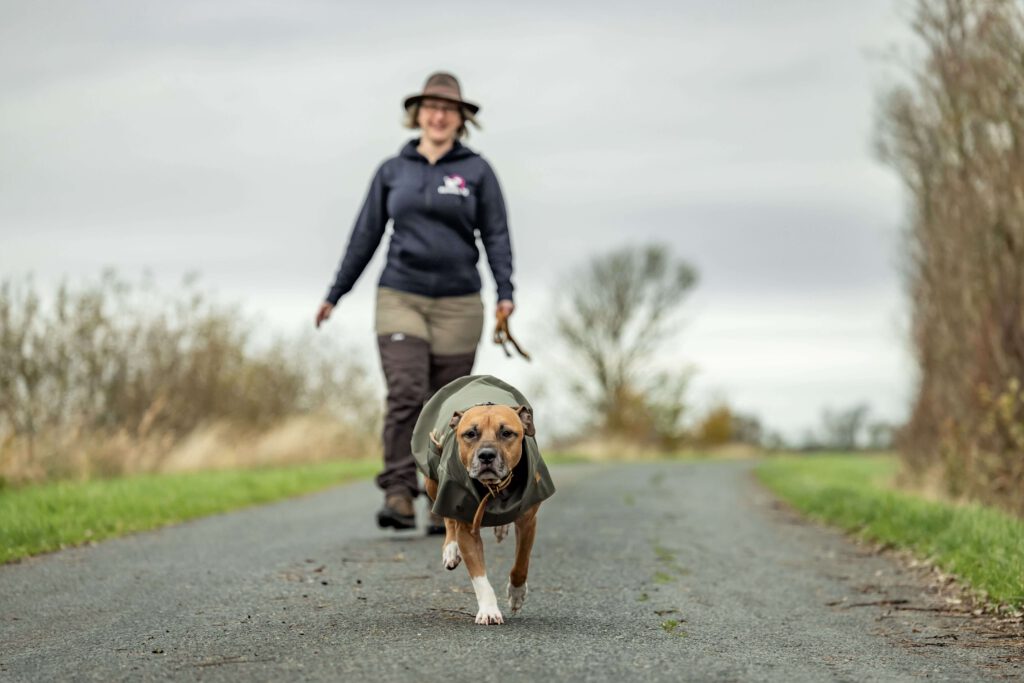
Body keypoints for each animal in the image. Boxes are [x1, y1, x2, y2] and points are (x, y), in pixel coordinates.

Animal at [413, 376, 557, 626]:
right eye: (470, 434)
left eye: (507, 433)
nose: (487, 455)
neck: (494, 488)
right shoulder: (467, 529)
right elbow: (480, 576)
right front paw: (489, 610)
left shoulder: (528, 520)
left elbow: (521, 562)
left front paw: (516, 594)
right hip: (434, 479)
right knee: (447, 517)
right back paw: (451, 549)